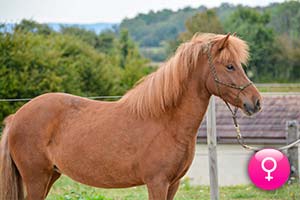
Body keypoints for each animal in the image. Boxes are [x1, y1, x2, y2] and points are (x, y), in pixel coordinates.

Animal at [0, 33, 262, 200]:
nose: (256, 101)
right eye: (229, 66)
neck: (166, 121)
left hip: (50, 175)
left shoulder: (173, 184)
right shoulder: (157, 183)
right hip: (36, 178)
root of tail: (16, 117)